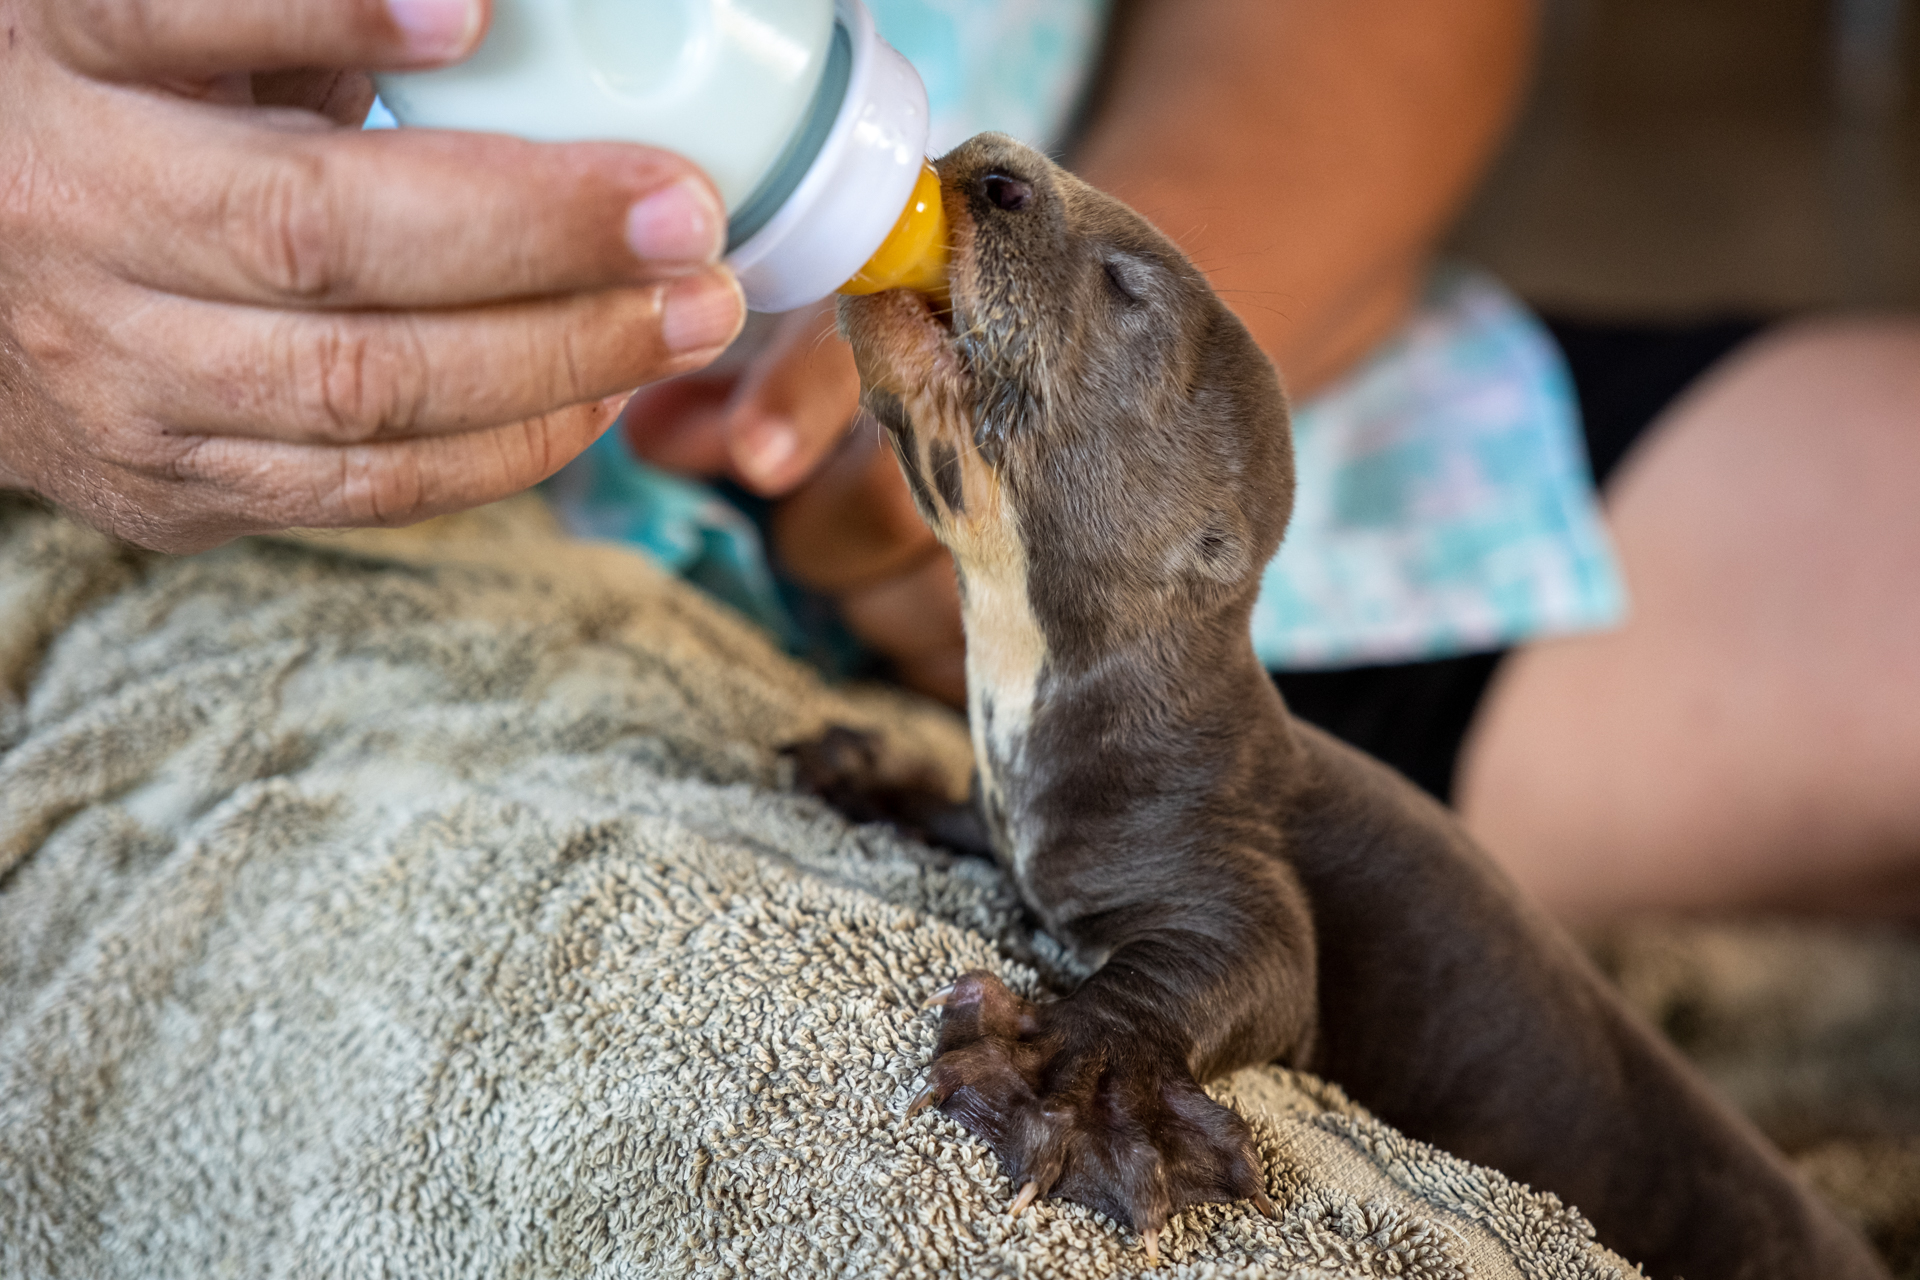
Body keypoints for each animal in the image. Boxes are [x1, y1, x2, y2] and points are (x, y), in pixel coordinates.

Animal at [821, 132, 1873, 1280]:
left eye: (1125, 284)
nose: (996, 167)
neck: (1044, 725)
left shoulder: (1211, 830)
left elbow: (1265, 966)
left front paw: (1060, 1086)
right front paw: (876, 775)